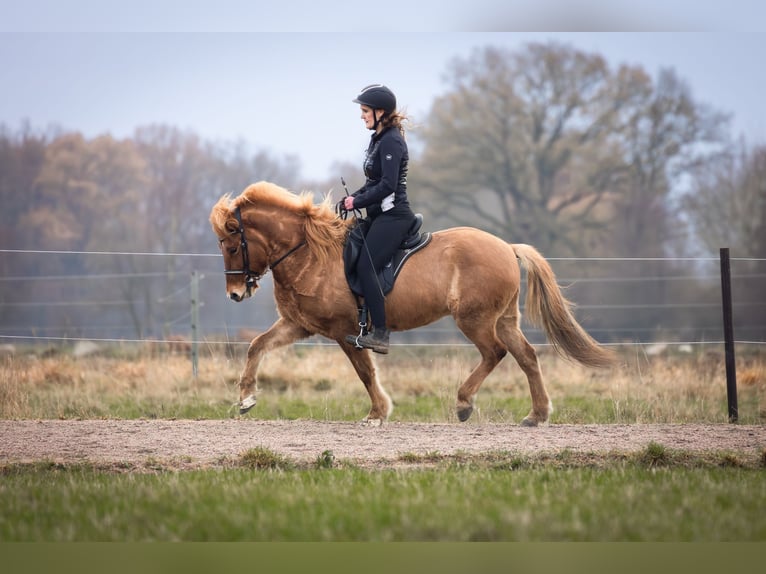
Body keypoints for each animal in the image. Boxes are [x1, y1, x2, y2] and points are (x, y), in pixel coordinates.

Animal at [209, 181, 615, 426]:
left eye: (231, 245)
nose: (236, 294)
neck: (310, 253)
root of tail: (507, 247)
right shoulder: (301, 325)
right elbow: (256, 346)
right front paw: (246, 399)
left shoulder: (344, 330)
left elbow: (365, 372)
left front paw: (377, 413)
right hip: (503, 319)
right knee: (527, 356)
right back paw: (537, 414)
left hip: (475, 320)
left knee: (495, 353)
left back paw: (464, 403)